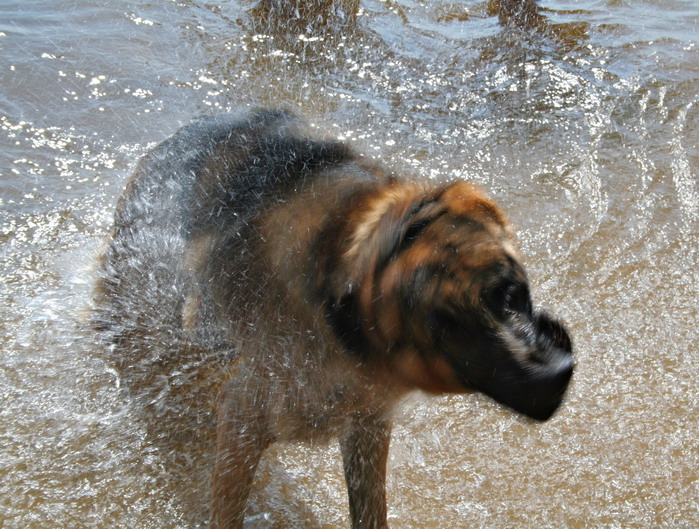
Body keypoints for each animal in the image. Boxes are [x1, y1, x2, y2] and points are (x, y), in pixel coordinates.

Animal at [94, 108, 576, 528]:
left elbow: (370, 511)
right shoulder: (243, 417)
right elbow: (227, 512)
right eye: (449, 329)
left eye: (515, 294)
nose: (559, 371)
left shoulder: (367, 426)